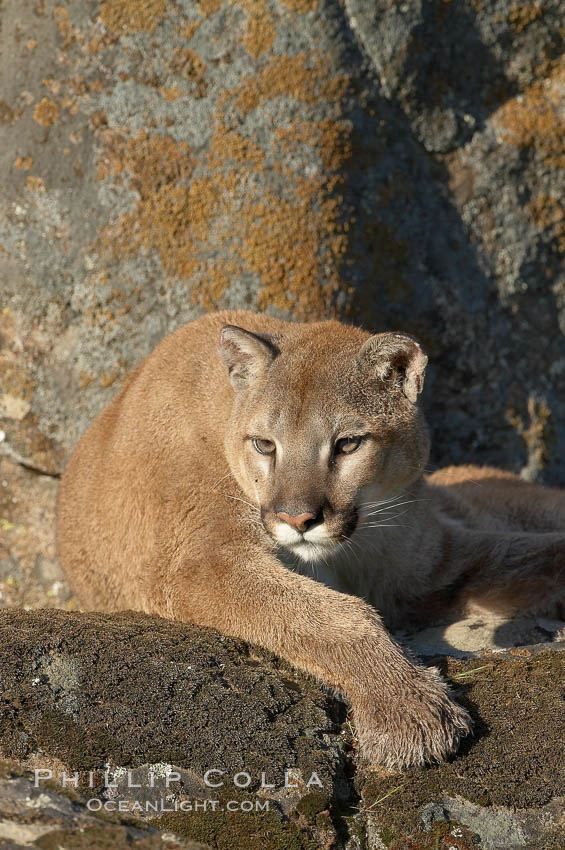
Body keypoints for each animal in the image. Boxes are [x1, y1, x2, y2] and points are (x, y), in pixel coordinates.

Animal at [58, 312, 564, 768]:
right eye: (264, 445)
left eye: (348, 444)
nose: (297, 518)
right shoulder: (202, 561)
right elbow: (335, 615)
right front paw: (408, 710)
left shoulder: (432, 567)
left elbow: (539, 553)